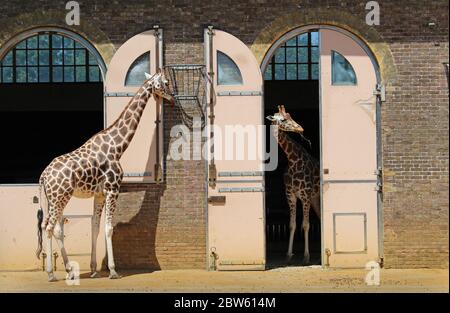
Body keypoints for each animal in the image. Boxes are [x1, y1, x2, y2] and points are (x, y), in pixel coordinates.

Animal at [34, 72, 172, 282]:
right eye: (165, 82)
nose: (172, 97)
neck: (117, 146)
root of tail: (43, 175)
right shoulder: (113, 189)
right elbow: (109, 228)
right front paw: (113, 271)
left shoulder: (99, 194)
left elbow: (95, 226)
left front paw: (93, 269)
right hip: (60, 197)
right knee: (50, 228)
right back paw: (51, 273)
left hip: (52, 199)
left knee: (49, 227)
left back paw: (68, 269)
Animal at [266, 105, 322, 264]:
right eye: (284, 119)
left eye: (291, 116)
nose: (300, 128)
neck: (292, 160)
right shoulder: (291, 195)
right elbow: (292, 225)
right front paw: (288, 255)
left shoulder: (305, 196)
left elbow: (306, 225)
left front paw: (306, 257)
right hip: (315, 199)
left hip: (314, 197)